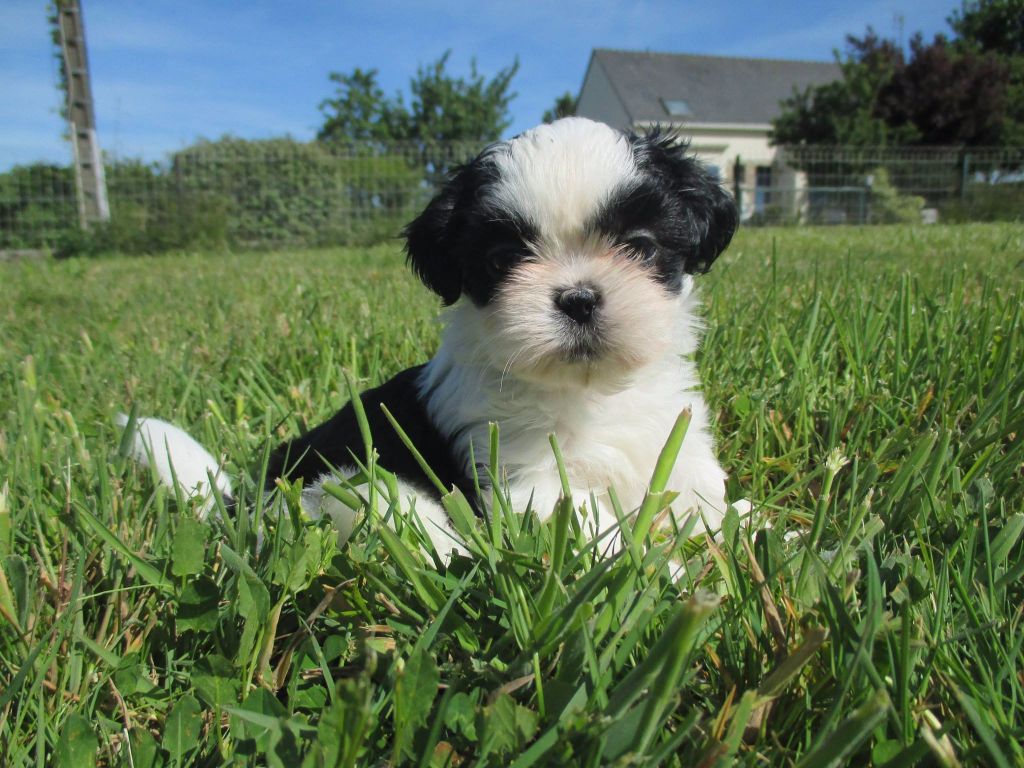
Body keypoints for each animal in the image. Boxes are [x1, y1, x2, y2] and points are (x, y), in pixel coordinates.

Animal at [125, 115, 737, 561]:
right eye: (502, 261)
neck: (588, 390)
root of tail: (237, 502)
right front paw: (666, 576)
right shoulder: (527, 476)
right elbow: (590, 528)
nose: (579, 298)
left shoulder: (673, 437)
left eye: (639, 247)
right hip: (354, 487)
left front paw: (748, 533)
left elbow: (706, 494)